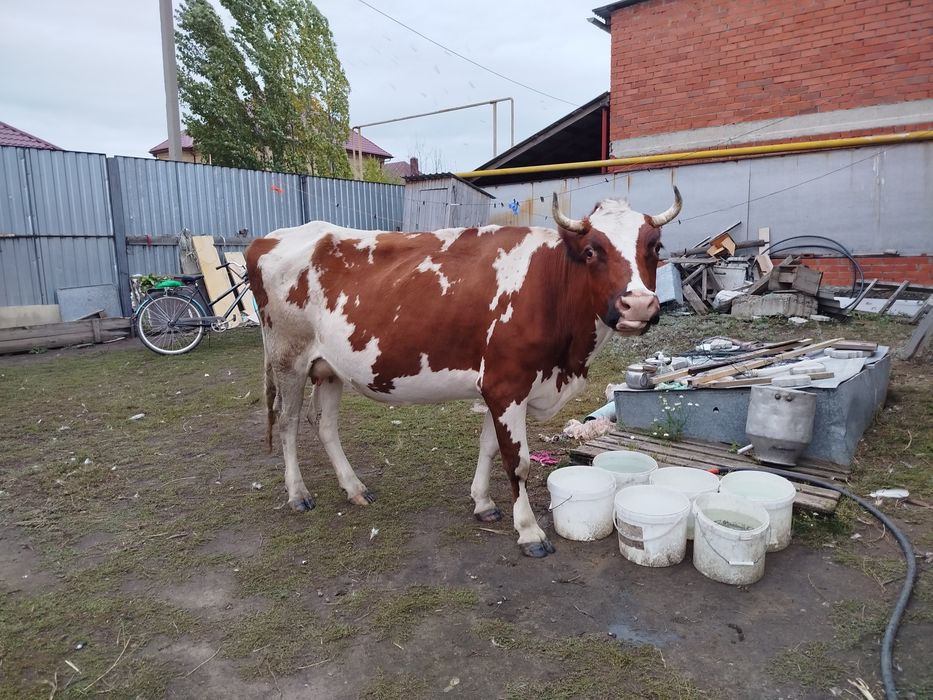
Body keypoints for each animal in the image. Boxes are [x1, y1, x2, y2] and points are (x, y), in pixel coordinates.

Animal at [245, 188, 681, 557]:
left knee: (324, 425)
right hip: (288, 357)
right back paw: (298, 494)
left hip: (330, 367)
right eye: (592, 251)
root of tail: (269, 239)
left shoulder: (497, 386)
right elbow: (518, 462)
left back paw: (354, 488)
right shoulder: (507, 384)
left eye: (655, 247)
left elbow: (489, 447)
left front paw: (484, 503)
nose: (638, 305)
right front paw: (529, 531)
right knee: (287, 422)